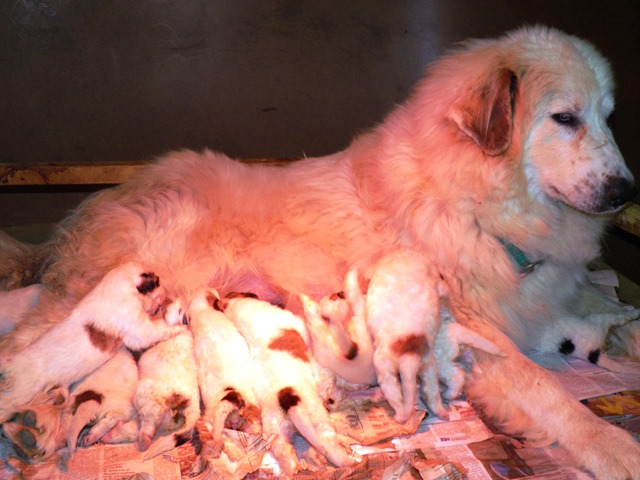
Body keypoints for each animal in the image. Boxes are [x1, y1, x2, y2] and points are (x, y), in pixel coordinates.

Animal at [0, 262, 188, 424]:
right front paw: (180, 327)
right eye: (157, 282)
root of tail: (10, 363)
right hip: (18, 393)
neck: (115, 289)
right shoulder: (139, 329)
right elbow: (159, 329)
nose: (166, 289)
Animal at [224, 292, 360, 476]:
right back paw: (349, 462)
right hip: (316, 419)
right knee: (329, 446)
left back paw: (294, 469)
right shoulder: (298, 324)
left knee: (286, 458)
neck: (237, 307)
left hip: (276, 432)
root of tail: (285, 396)